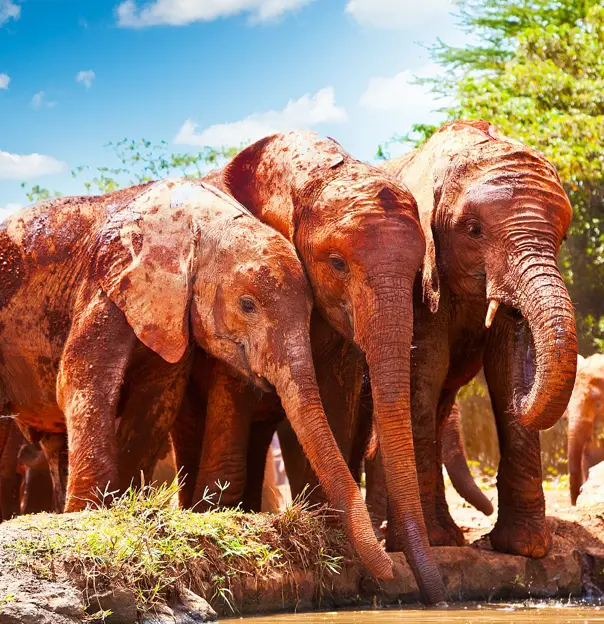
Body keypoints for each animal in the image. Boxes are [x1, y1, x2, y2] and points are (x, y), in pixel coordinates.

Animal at [0, 176, 392, 580]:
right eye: (247, 305)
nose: (391, 568)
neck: (197, 226)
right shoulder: (105, 285)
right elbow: (83, 378)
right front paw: (90, 514)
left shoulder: (169, 312)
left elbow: (159, 398)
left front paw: (122, 507)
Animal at [175, 130, 444, 604]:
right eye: (337, 264)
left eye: (417, 271)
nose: (440, 596)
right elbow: (236, 385)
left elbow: (337, 391)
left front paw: (327, 524)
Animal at [380, 119, 580, 560]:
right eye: (473, 231)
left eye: (561, 238)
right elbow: (424, 368)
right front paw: (434, 543)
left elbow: (505, 364)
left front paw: (523, 548)